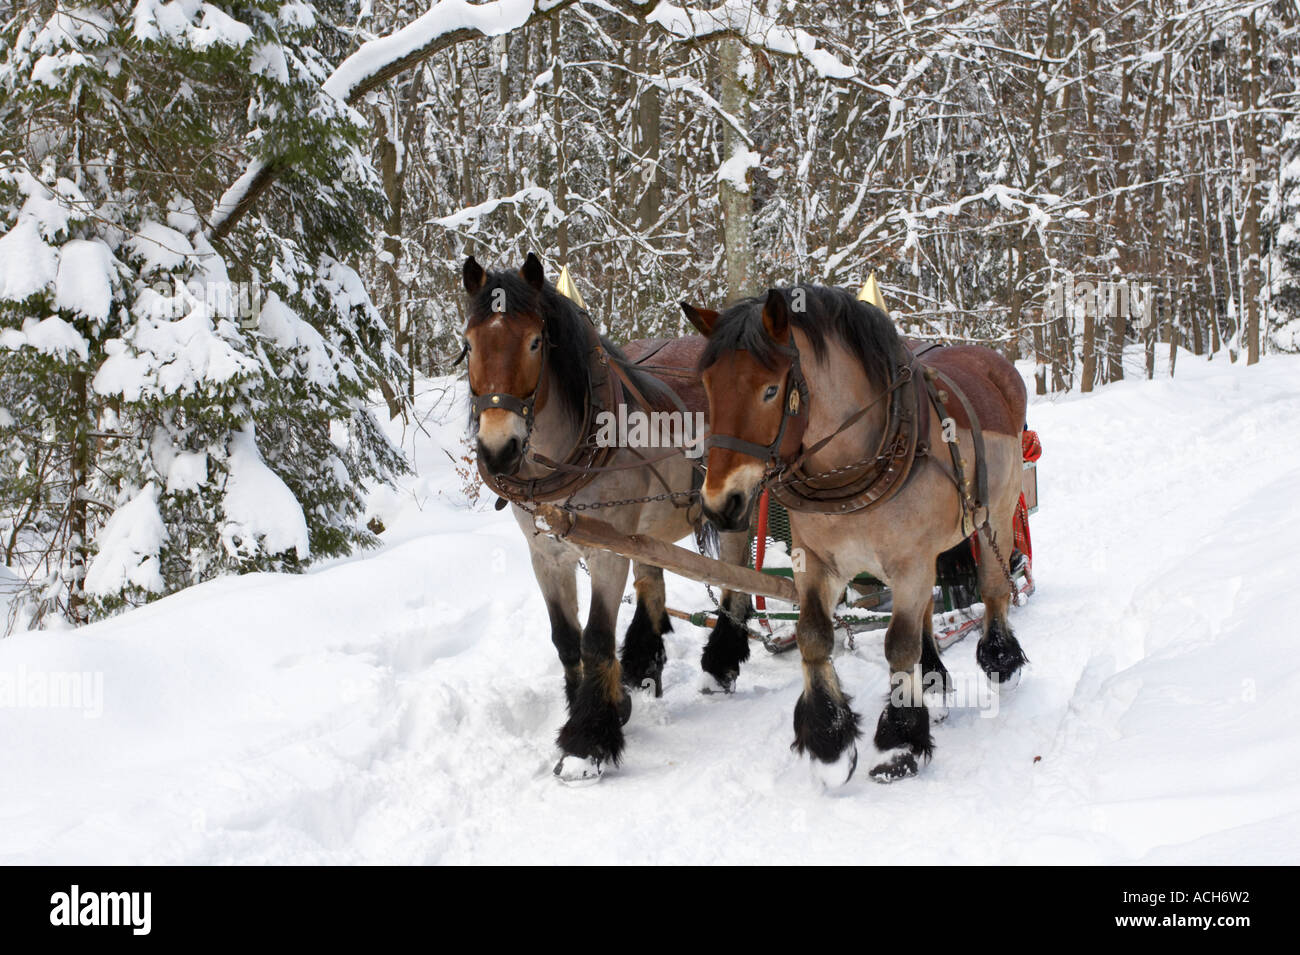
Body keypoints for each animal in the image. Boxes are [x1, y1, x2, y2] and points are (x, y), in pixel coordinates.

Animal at [462, 253, 755, 782]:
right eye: (469, 344)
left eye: (534, 342)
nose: (499, 450)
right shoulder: (546, 554)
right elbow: (565, 640)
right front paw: (604, 705)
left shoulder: (606, 552)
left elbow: (595, 639)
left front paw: (587, 741)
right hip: (647, 529)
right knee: (653, 583)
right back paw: (641, 664)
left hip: (734, 508)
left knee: (736, 580)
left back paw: (721, 663)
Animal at [686, 285, 1030, 785]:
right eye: (709, 388)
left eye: (770, 389)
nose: (718, 503)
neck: (852, 463)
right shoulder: (816, 559)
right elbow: (813, 634)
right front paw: (828, 739)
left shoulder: (910, 561)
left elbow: (899, 643)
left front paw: (900, 740)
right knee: (928, 610)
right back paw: (933, 681)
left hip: (996, 517)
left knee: (993, 589)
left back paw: (1000, 658)